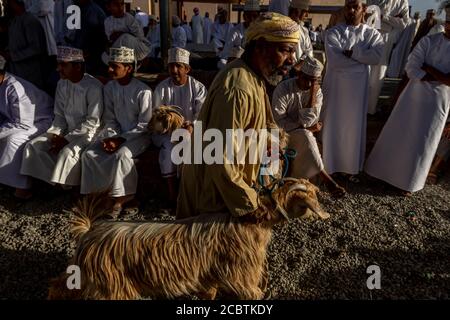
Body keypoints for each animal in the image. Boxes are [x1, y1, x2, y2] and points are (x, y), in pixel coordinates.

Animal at [49, 178, 328, 300]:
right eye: (310, 194)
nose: (323, 193)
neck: (253, 220)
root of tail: (88, 234)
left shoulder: (210, 274)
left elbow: (209, 291)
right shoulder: (242, 274)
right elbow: (253, 293)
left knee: (59, 285)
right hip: (113, 288)